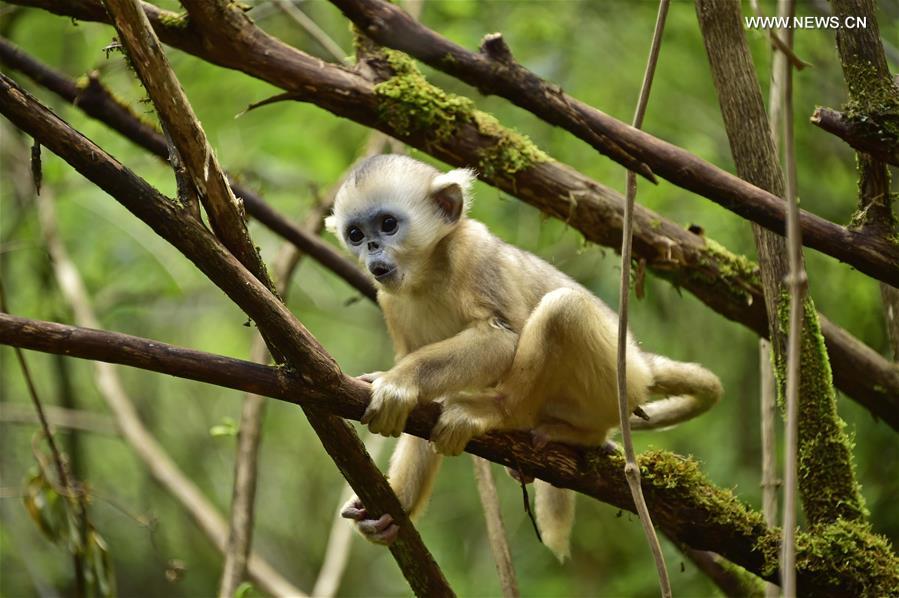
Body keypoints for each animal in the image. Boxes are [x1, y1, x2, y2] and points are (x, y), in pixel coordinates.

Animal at [326, 155, 720, 564]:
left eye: (388, 225)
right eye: (355, 234)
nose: (372, 248)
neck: (427, 275)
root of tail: (641, 360)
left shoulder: (473, 252)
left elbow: (503, 338)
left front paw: (399, 381)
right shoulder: (390, 300)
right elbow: (424, 403)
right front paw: (394, 506)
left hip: (616, 381)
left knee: (562, 308)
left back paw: (499, 413)